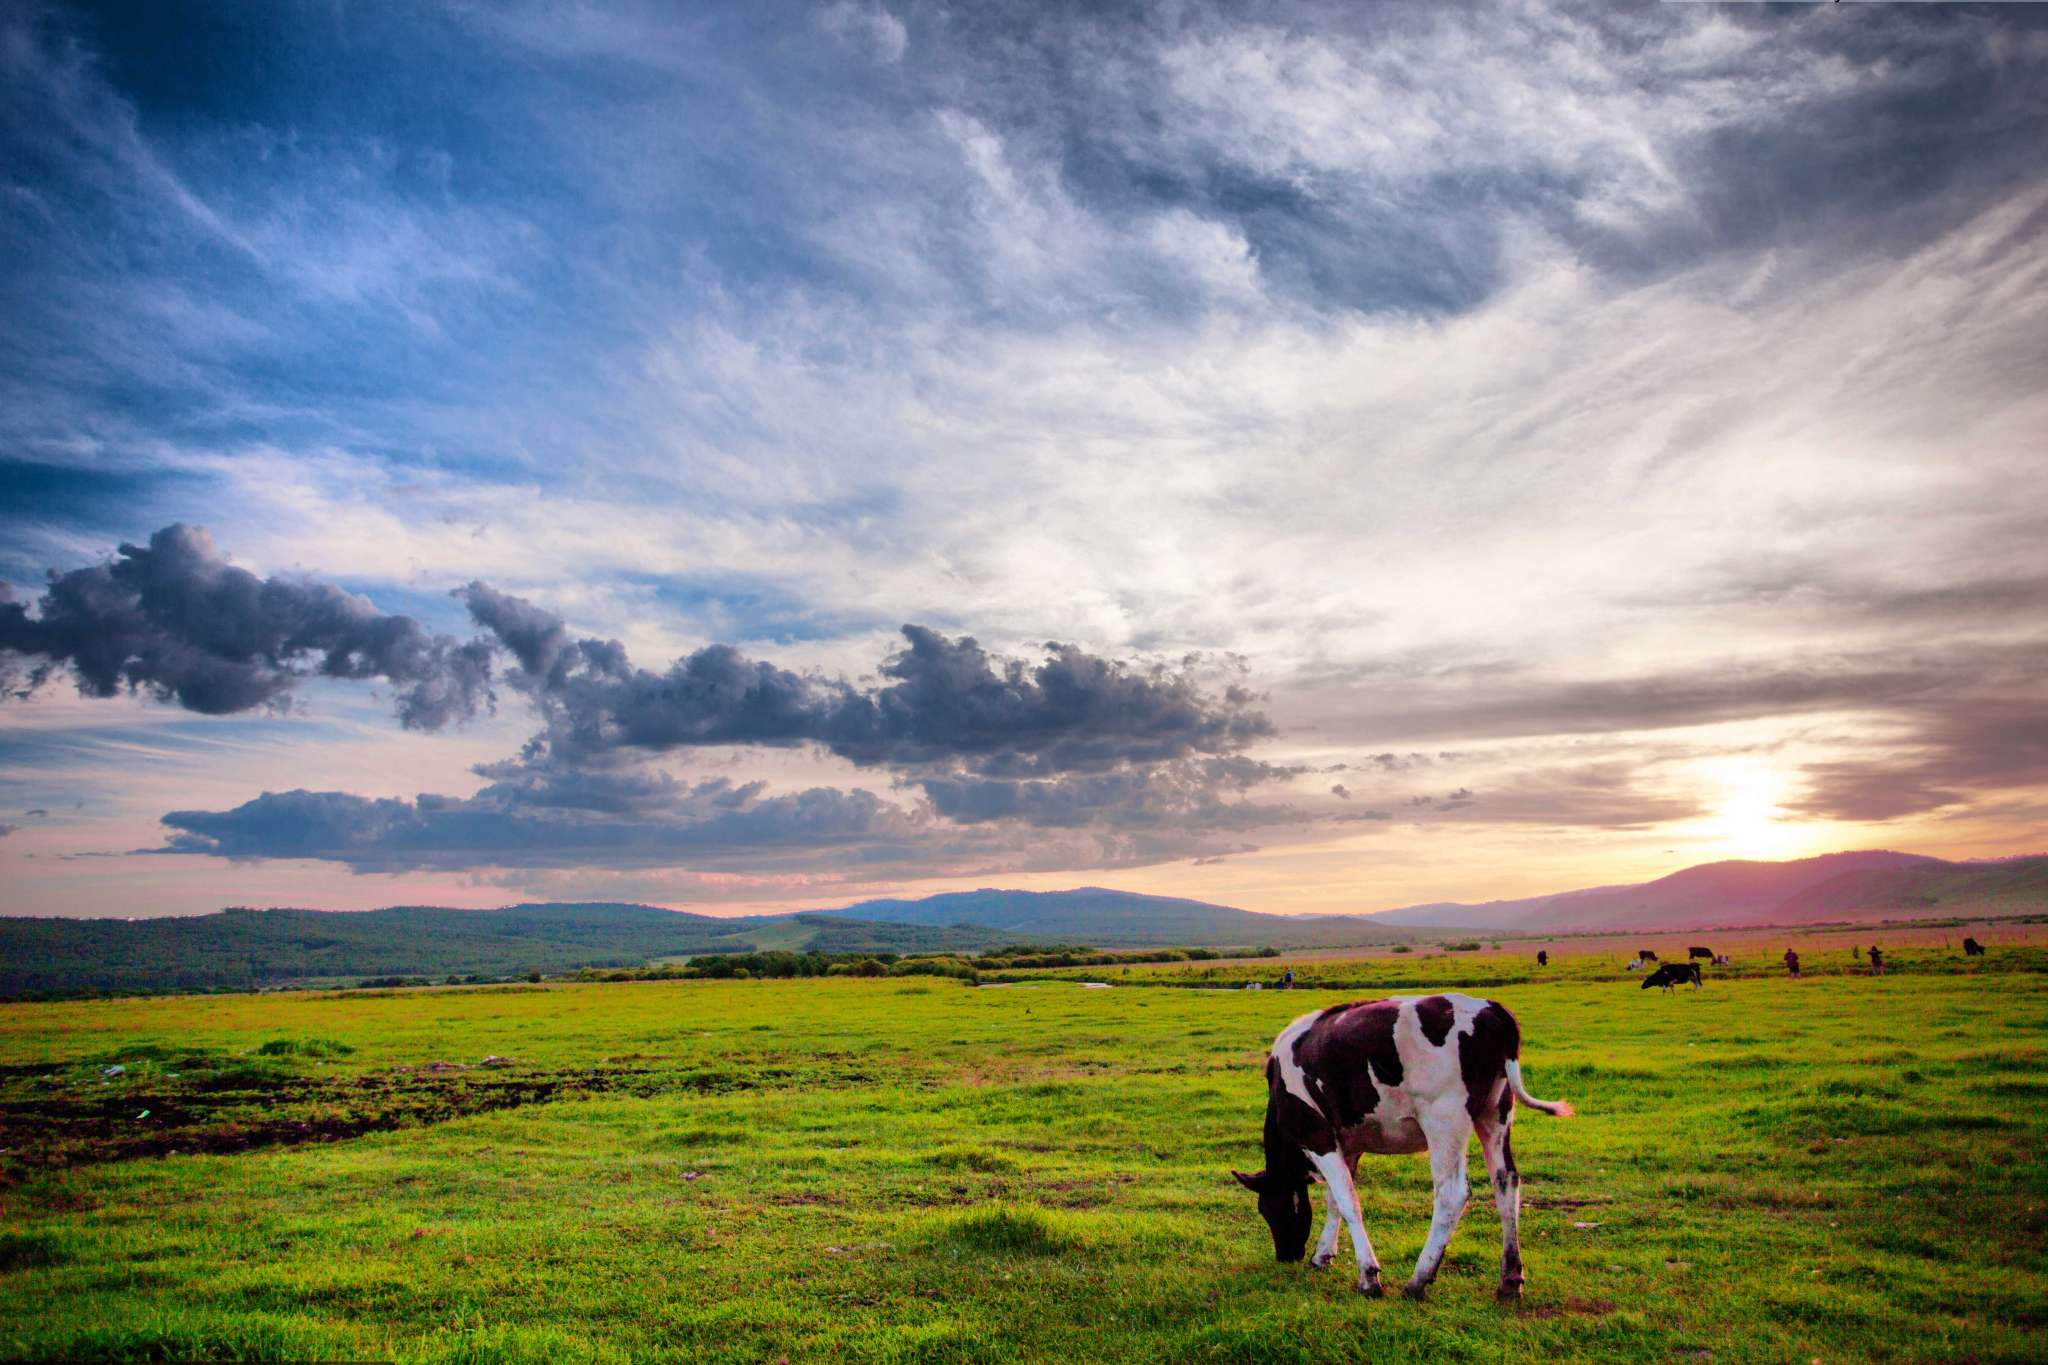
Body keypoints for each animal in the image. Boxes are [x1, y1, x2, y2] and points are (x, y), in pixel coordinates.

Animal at [1228, 994, 1581, 1301]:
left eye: (1267, 1208)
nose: (1286, 1256)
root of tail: (1491, 1009)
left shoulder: (1317, 1136)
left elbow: (1349, 1201)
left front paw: (1368, 1276)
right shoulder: (1348, 1144)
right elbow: (1334, 1200)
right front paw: (1323, 1254)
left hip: (1444, 1120)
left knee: (1451, 1194)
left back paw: (1418, 1280)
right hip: (1496, 1113)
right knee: (1506, 1183)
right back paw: (1509, 1279)